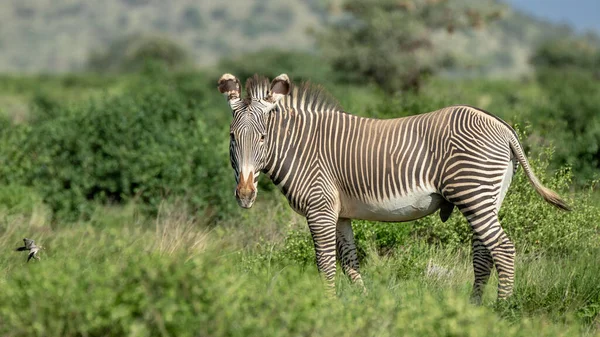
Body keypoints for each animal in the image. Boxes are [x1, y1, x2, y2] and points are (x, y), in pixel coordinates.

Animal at [218, 73, 568, 300]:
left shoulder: (319, 209)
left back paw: (502, 309)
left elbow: (325, 264)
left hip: (474, 194)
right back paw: (475, 307)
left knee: (503, 250)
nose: (245, 195)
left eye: (263, 137)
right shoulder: (340, 213)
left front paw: (327, 305)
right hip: (487, 198)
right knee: (484, 253)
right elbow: (349, 261)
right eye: (232, 136)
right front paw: (361, 303)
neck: (299, 148)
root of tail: (503, 126)